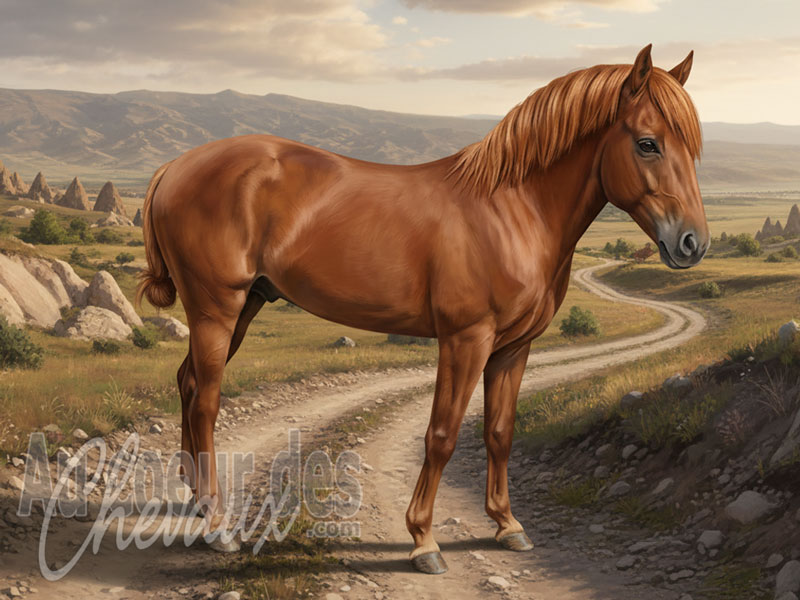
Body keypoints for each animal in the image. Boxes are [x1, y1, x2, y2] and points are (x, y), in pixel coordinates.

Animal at [136, 44, 708, 574]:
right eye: (648, 143)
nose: (691, 243)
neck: (513, 210)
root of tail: (173, 167)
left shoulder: (513, 349)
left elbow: (499, 433)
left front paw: (507, 525)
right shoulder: (465, 340)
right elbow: (441, 435)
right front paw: (423, 541)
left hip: (245, 306)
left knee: (188, 382)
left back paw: (194, 498)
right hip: (217, 309)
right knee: (207, 402)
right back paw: (216, 526)